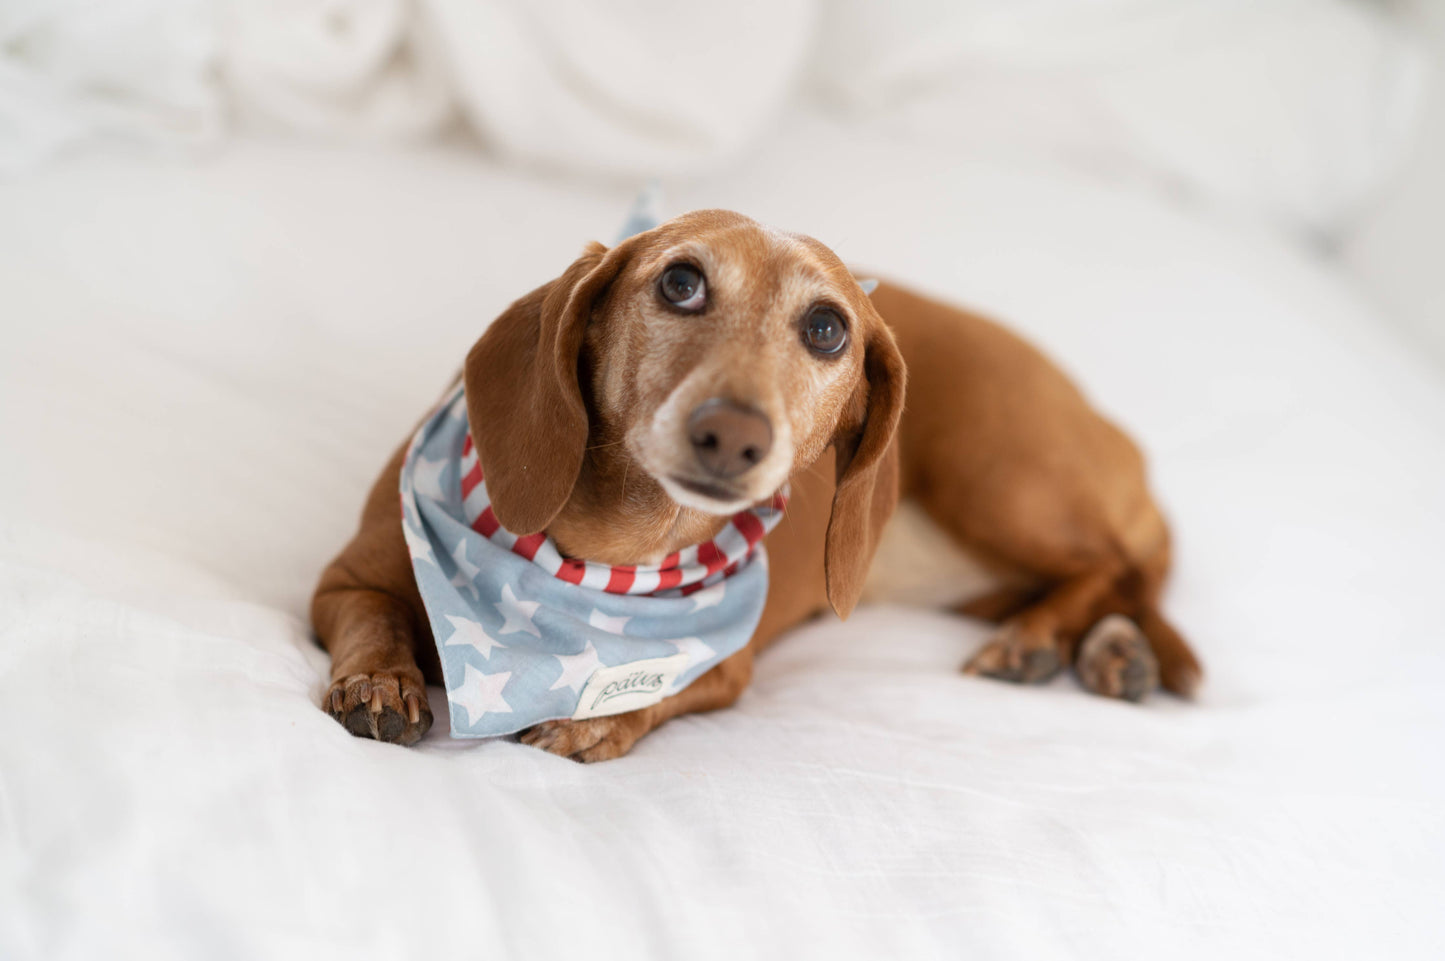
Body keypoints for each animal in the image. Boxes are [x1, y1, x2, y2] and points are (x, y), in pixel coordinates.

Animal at [313, 208, 1196, 757]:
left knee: (1118, 566)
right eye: (680, 282)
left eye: (827, 328)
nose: (734, 435)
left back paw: (1053, 641)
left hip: (998, 481)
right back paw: (1109, 648)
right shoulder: (343, 582)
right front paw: (378, 679)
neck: (603, 557)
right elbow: (373, 617)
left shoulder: (721, 669)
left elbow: (649, 693)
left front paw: (594, 721)